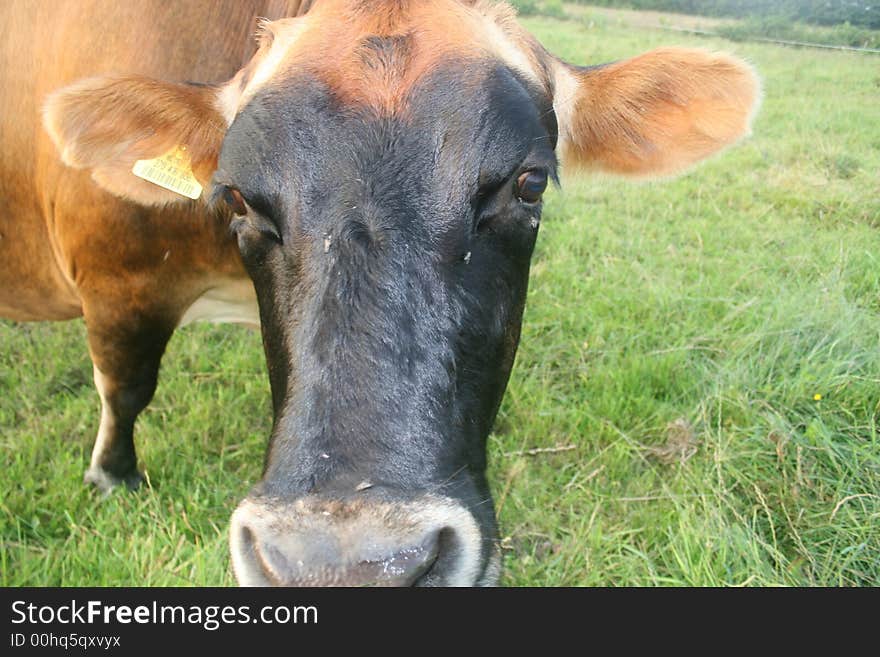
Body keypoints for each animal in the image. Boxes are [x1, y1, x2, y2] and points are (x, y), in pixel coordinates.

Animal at [0, 0, 760, 584]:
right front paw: (114, 478)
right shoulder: (118, 281)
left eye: (530, 182)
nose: (348, 564)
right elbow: (126, 385)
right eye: (237, 198)